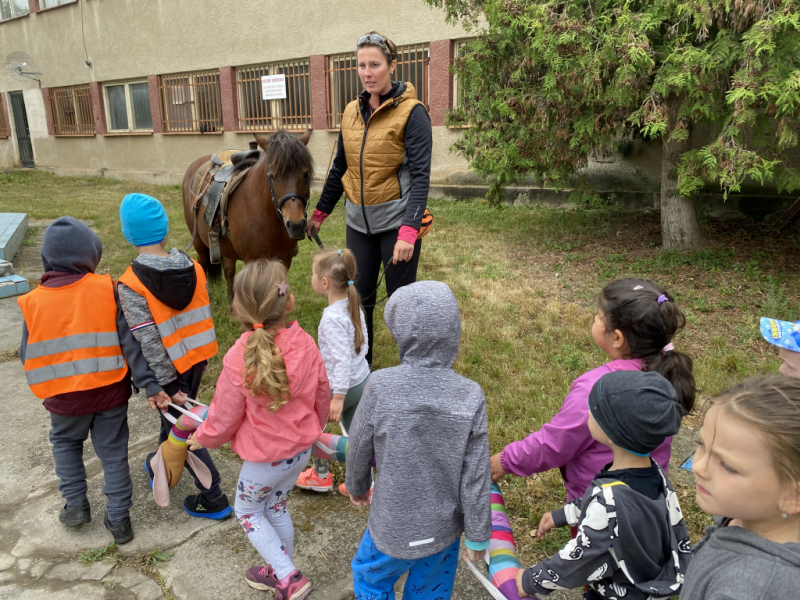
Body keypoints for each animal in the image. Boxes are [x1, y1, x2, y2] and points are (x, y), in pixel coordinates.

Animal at [184, 129, 312, 302]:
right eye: (272, 176)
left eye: (306, 174)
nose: (296, 225)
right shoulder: (252, 260)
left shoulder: (284, 259)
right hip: (199, 243)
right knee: (202, 264)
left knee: (229, 270)